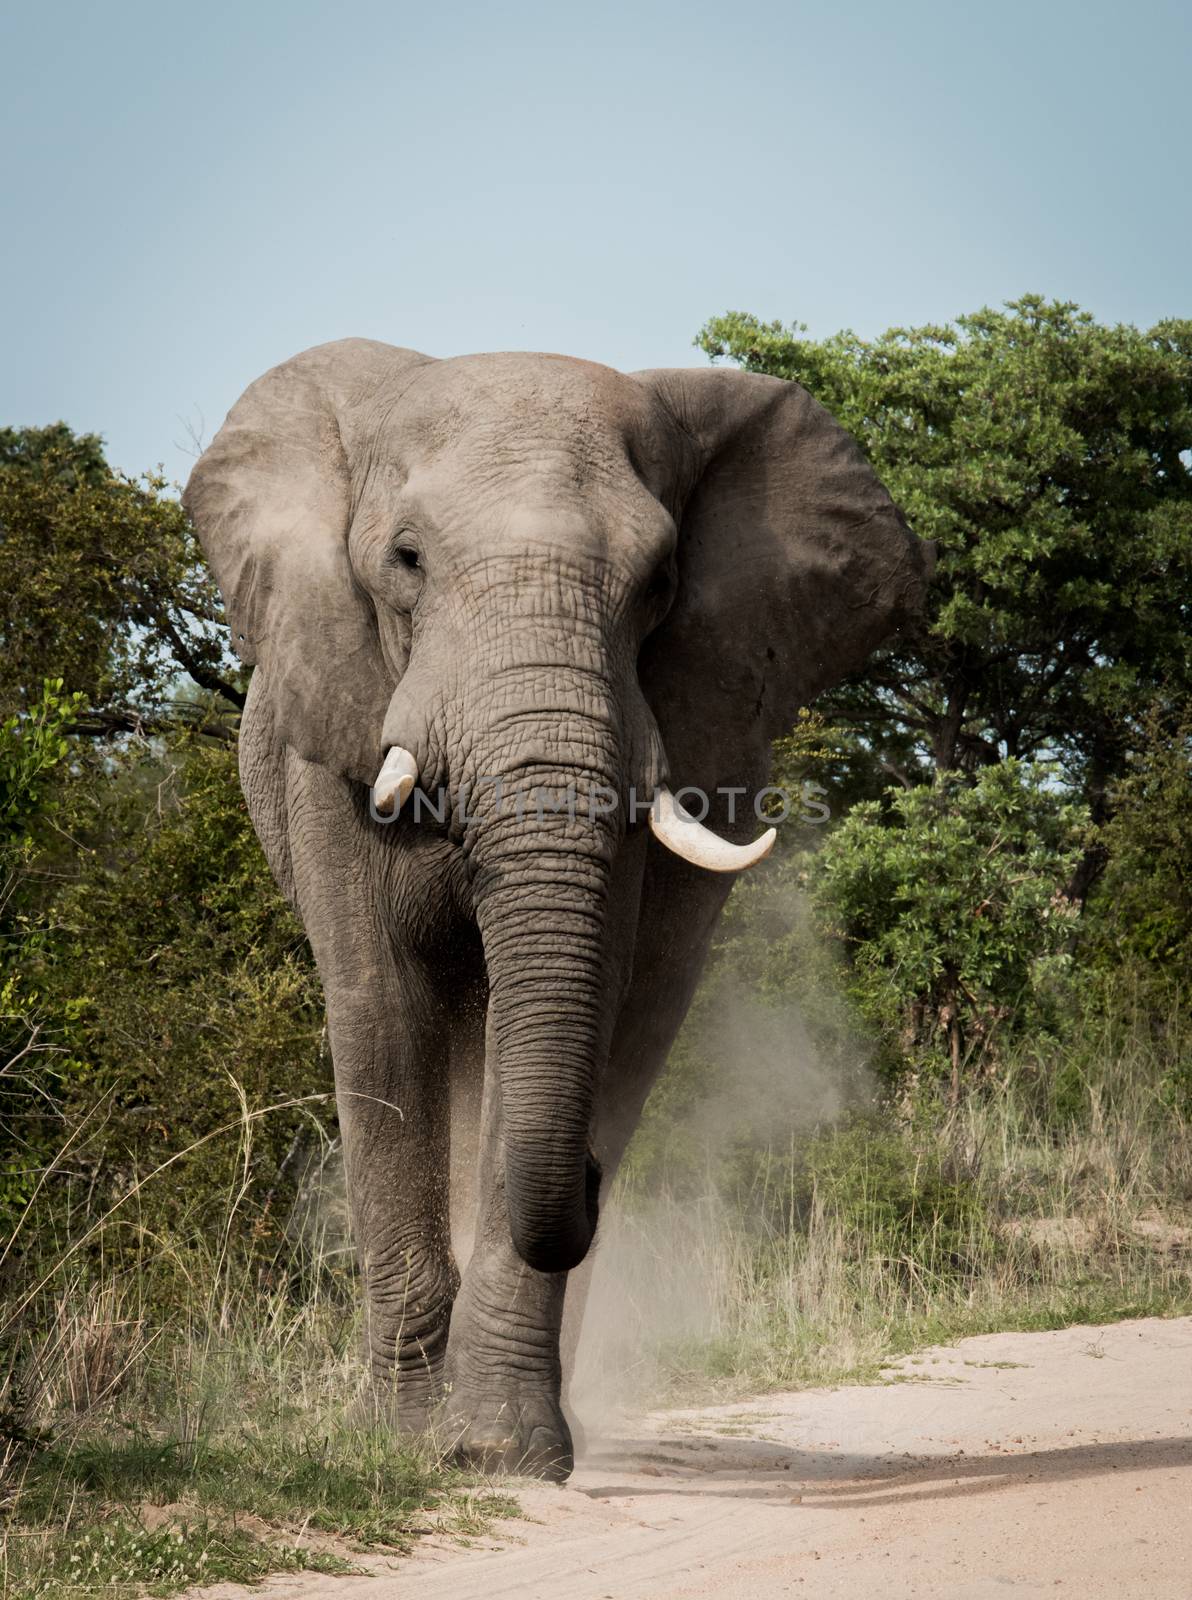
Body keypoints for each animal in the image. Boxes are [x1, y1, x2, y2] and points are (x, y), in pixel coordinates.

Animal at [185, 340, 928, 1484]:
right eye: (406, 560)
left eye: (659, 583)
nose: (584, 1172)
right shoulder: (334, 740)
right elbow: (383, 1014)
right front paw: (404, 1446)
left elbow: (564, 1014)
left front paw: (500, 1452)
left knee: (621, 1031)